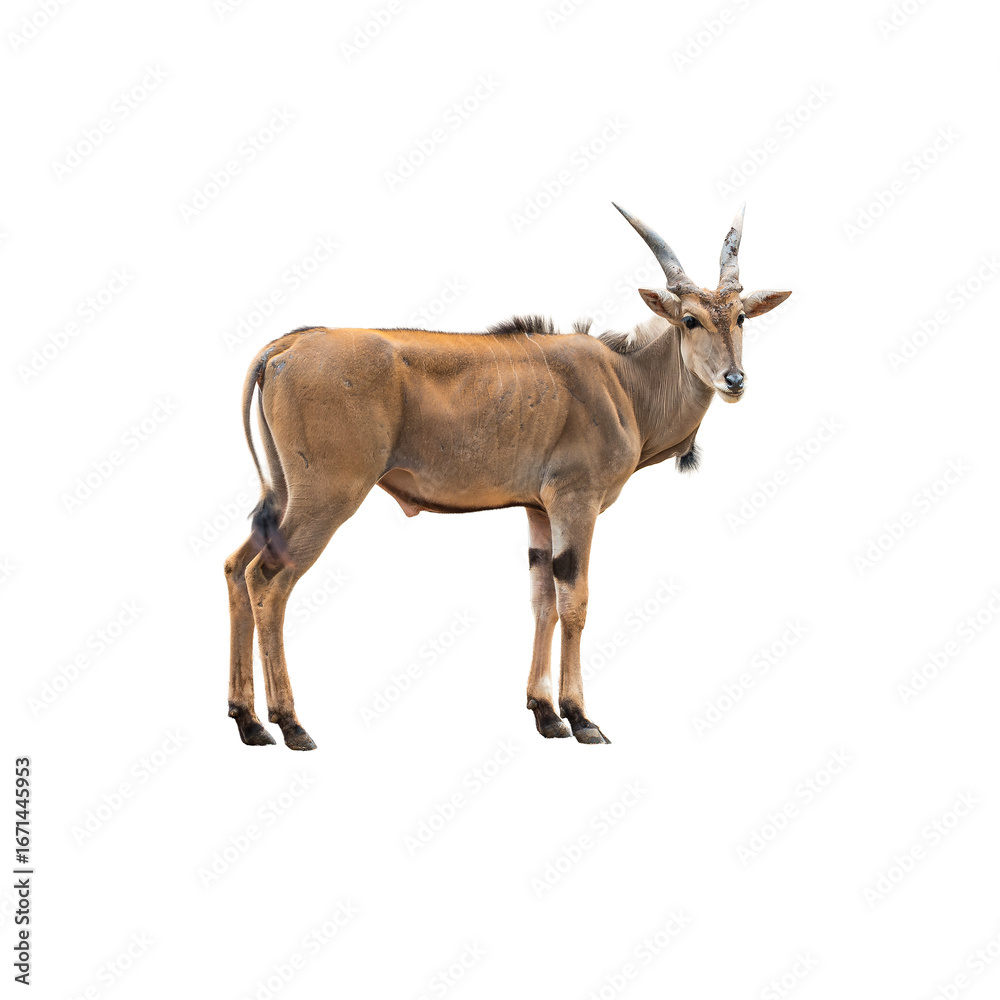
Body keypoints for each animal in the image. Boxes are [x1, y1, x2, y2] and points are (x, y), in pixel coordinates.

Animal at [224, 203, 791, 750]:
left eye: (741, 316)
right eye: (690, 319)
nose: (734, 380)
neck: (624, 383)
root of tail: (282, 349)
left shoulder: (538, 511)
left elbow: (543, 601)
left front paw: (546, 714)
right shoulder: (575, 501)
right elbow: (574, 601)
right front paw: (581, 718)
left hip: (284, 496)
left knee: (235, 569)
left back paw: (248, 721)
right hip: (327, 498)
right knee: (268, 580)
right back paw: (290, 724)